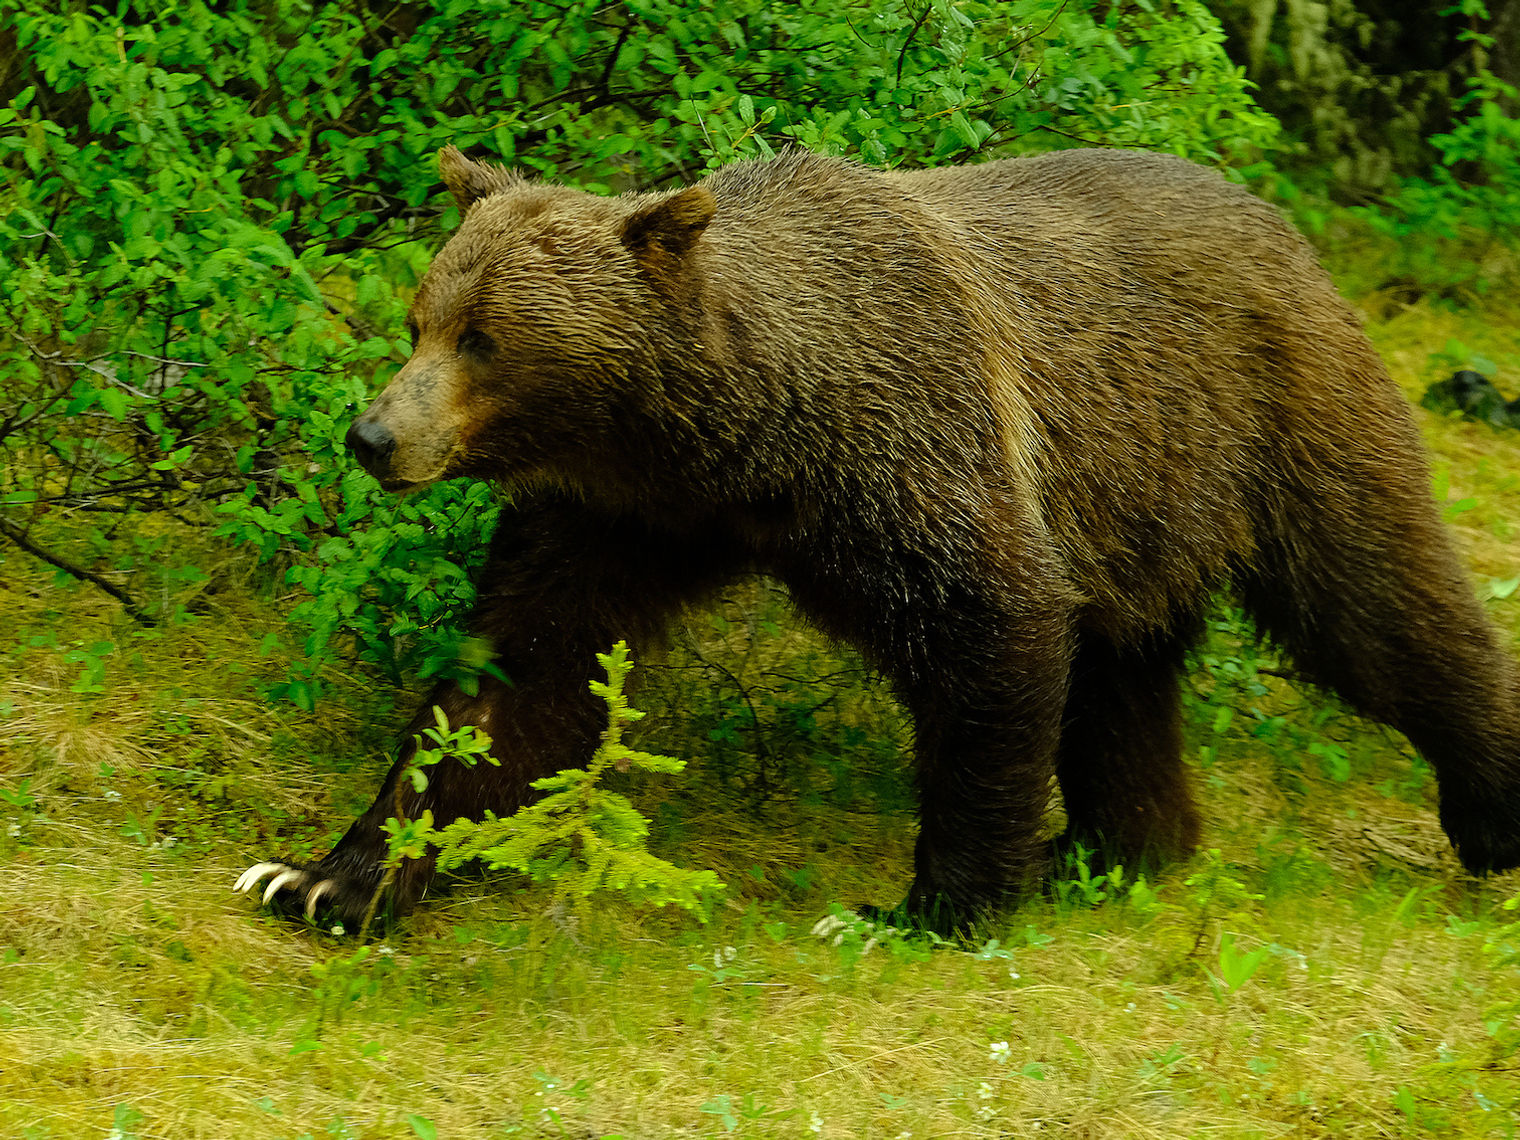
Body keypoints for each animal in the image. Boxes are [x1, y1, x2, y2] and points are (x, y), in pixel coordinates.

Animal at [236, 144, 1520, 931]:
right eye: (422, 316)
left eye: (486, 340)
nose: (373, 435)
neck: (737, 439)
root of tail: (1277, 219)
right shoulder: (622, 514)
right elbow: (515, 677)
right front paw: (315, 877)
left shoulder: (912, 446)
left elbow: (989, 626)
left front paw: (929, 904)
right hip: (1131, 501)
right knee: (1120, 674)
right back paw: (1115, 848)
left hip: (1271, 413)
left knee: (1378, 607)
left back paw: (1489, 813)